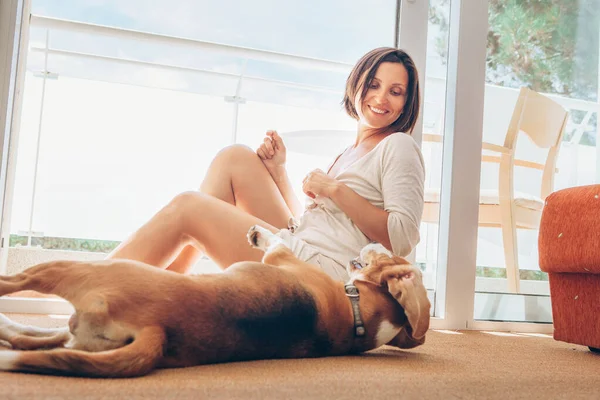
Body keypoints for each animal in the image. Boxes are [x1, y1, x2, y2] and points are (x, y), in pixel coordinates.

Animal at [0, 227, 432, 376]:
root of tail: (157, 331)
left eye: (388, 256)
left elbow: (278, 240)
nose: (375, 241)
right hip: (78, 336)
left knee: (13, 283)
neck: (357, 312)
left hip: (72, 269)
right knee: (30, 338)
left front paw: (260, 232)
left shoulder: (280, 257)